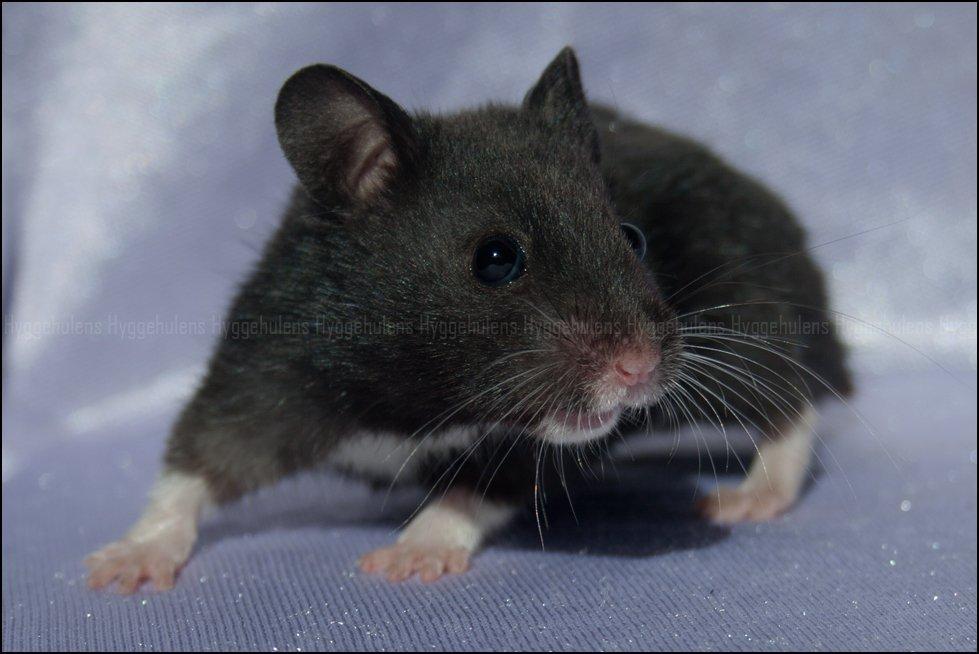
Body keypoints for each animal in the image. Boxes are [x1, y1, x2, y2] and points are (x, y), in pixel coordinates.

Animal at [86, 47, 851, 591]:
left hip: (745, 327)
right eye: (495, 258)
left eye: (632, 239)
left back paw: (747, 498)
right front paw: (118, 568)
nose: (639, 370)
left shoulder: (534, 450)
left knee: (792, 402)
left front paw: (404, 560)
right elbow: (199, 459)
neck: (420, 394)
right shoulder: (268, 367)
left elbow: (477, 488)